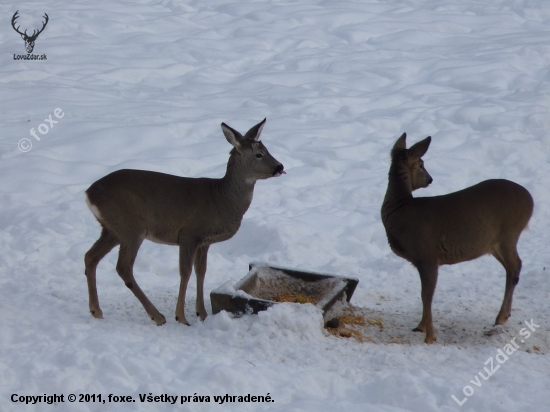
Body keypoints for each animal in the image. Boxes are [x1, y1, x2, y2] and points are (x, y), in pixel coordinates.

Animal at [84, 118, 286, 326]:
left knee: (90, 257)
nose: (280, 167)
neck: (221, 199)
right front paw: (181, 317)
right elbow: (186, 272)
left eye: (267, 149)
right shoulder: (189, 233)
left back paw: (96, 310)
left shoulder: (204, 241)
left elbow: (201, 271)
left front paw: (202, 313)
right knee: (123, 267)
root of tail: (89, 193)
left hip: (112, 230)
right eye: (259, 154)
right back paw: (157, 316)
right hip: (130, 228)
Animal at [384, 134, 536, 342]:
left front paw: (430, 336)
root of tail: (531, 200)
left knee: (515, 266)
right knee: (511, 267)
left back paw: (501, 317)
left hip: (510, 233)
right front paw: (420, 327)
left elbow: (426, 295)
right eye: (422, 165)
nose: (430, 179)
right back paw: (503, 316)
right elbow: (423, 294)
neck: (402, 210)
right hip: (493, 243)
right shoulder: (420, 260)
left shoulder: (428, 255)